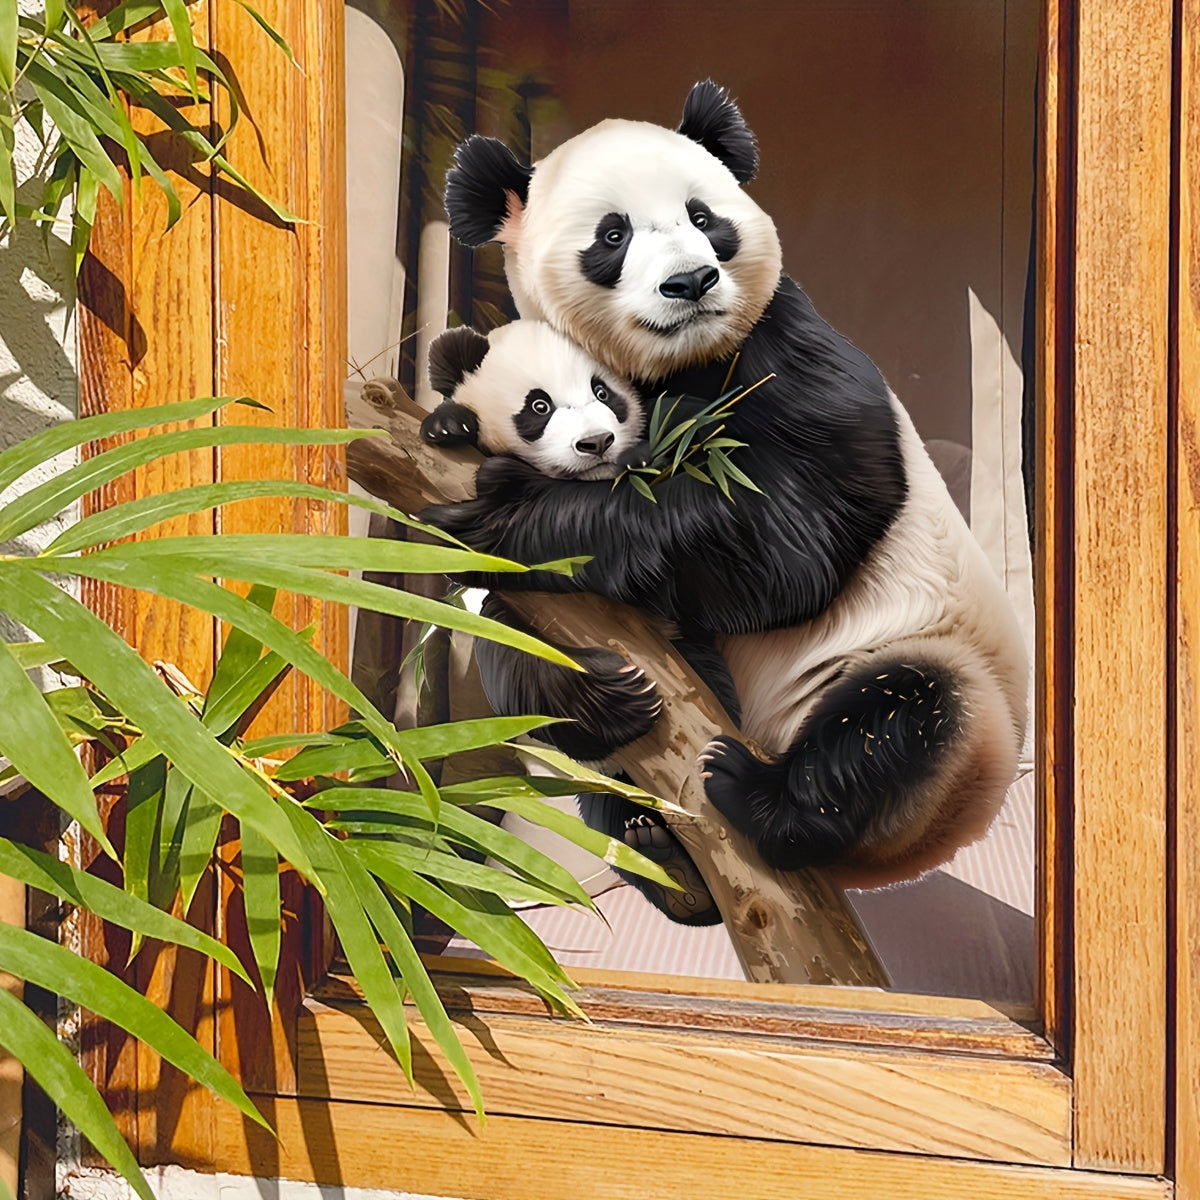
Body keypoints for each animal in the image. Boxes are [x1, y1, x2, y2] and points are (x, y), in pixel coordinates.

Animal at [420, 80, 1030, 913]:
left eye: (705, 218)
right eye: (612, 235)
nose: (691, 282)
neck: (679, 366)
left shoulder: (789, 350)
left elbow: (790, 538)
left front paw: (514, 513)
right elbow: (498, 623)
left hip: (930, 680)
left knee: (902, 718)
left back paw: (758, 800)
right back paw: (659, 850)